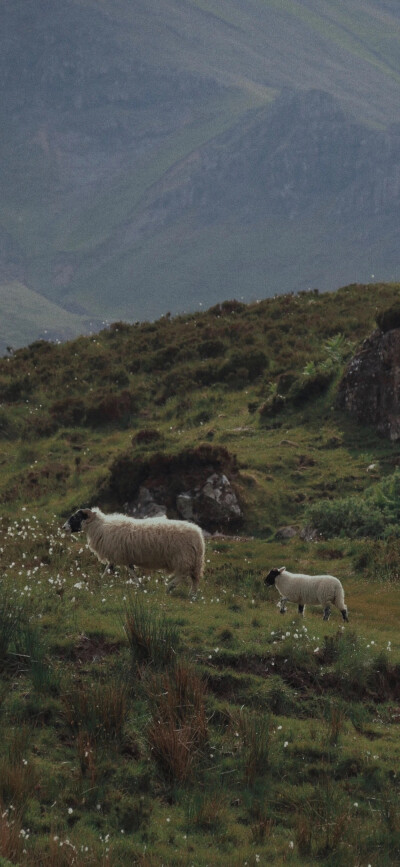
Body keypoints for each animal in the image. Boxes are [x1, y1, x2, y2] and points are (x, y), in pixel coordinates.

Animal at [63, 508, 206, 596]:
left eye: (75, 517)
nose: (63, 527)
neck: (99, 527)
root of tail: (198, 536)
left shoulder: (117, 554)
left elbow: (111, 569)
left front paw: (99, 582)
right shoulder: (122, 556)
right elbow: (128, 570)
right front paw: (140, 586)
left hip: (183, 557)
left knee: (184, 574)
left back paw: (170, 586)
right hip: (193, 560)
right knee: (194, 578)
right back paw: (192, 594)